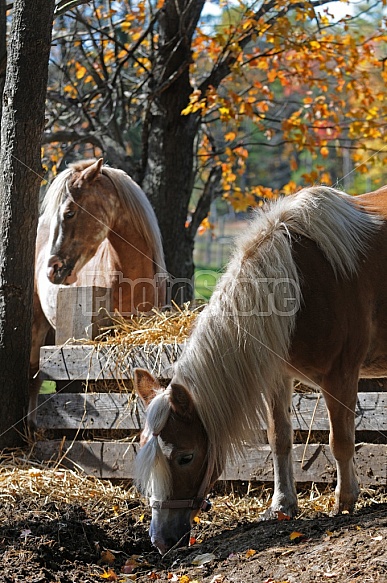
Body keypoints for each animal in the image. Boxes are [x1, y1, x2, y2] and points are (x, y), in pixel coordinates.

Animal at [133, 185, 387, 556]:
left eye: (185, 457)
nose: (160, 540)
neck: (303, 284)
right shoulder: (277, 377)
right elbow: (279, 438)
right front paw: (282, 505)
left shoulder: (340, 376)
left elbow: (340, 440)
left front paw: (344, 501)